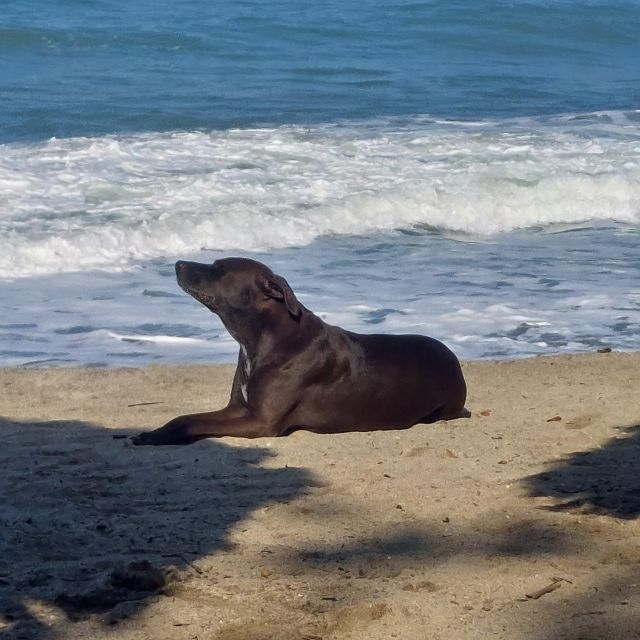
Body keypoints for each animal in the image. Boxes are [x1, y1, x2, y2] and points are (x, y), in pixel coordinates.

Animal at [132, 256, 468, 444]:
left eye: (220, 269)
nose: (178, 264)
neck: (262, 338)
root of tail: (453, 359)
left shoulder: (260, 421)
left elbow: (194, 422)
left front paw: (158, 437)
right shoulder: (238, 409)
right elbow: (185, 418)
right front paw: (156, 432)